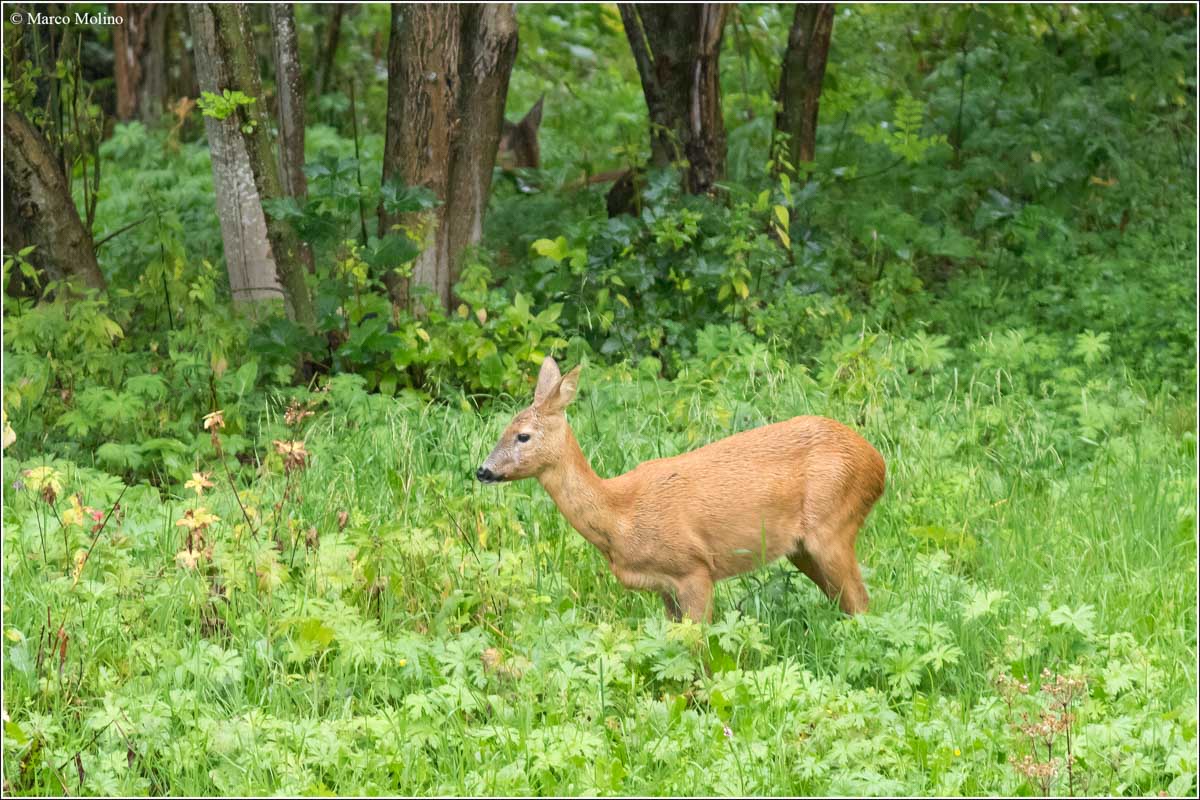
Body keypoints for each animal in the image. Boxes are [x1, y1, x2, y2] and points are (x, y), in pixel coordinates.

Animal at [472, 357, 888, 623]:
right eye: (503, 429)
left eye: (523, 436)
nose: (483, 470)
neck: (620, 515)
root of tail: (878, 463)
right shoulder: (664, 587)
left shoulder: (694, 569)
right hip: (802, 549)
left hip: (833, 525)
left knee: (862, 602)